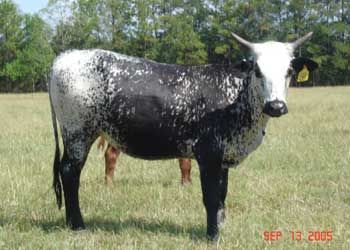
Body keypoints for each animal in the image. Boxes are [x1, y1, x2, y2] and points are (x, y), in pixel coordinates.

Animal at [48, 32, 318, 239]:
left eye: (289, 70)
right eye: (257, 70)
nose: (276, 106)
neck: (236, 98)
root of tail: (66, 56)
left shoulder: (223, 157)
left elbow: (223, 195)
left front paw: (221, 227)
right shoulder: (208, 154)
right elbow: (211, 197)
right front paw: (212, 236)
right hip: (77, 132)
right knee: (70, 172)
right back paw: (78, 226)